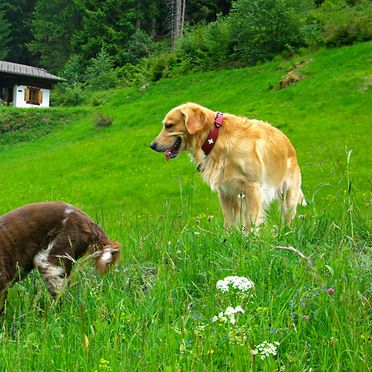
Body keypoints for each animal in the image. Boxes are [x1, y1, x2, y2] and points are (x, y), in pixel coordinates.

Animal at [150, 102, 306, 230]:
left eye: (169, 125)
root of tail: (289, 144)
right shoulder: (226, 191)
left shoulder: (252, 188)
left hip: (289, 195)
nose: (152, 145)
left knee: (287, 220)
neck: (215, 137)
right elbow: (229, 223)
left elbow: (251, 223)